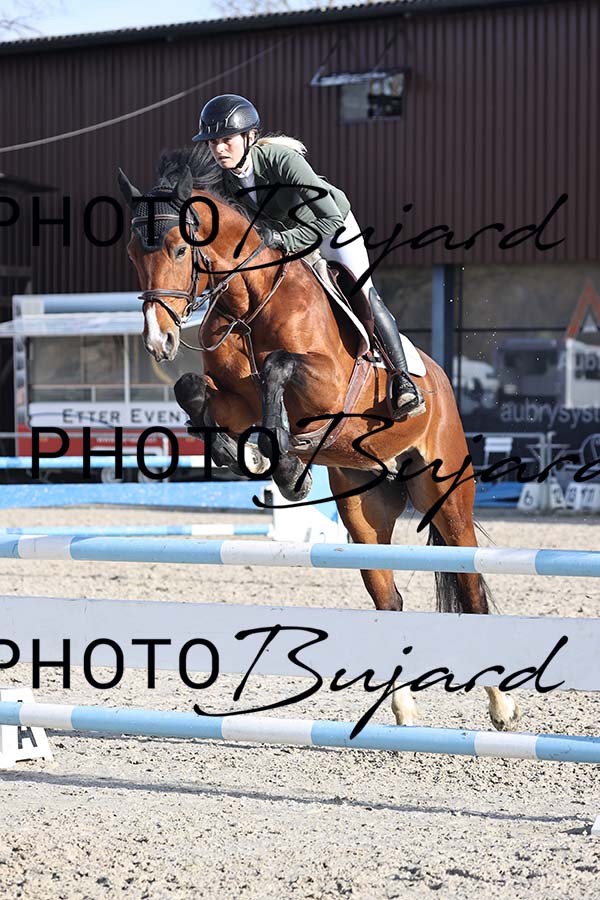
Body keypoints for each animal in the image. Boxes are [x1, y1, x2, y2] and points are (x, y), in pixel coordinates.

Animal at [118, 145, 520, 732]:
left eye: (177, 248)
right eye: (132, 253)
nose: (159, 341)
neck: (249, 304)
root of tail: (443, 385)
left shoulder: (328, 387)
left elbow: (279, 369)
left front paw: (287, 466)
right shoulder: (230, 396)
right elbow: (194, 390)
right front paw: (249, 454)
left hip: (446, 497)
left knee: (469, 590)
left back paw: (502, 706)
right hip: (364, 509)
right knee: (389, 597)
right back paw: (401, 707)